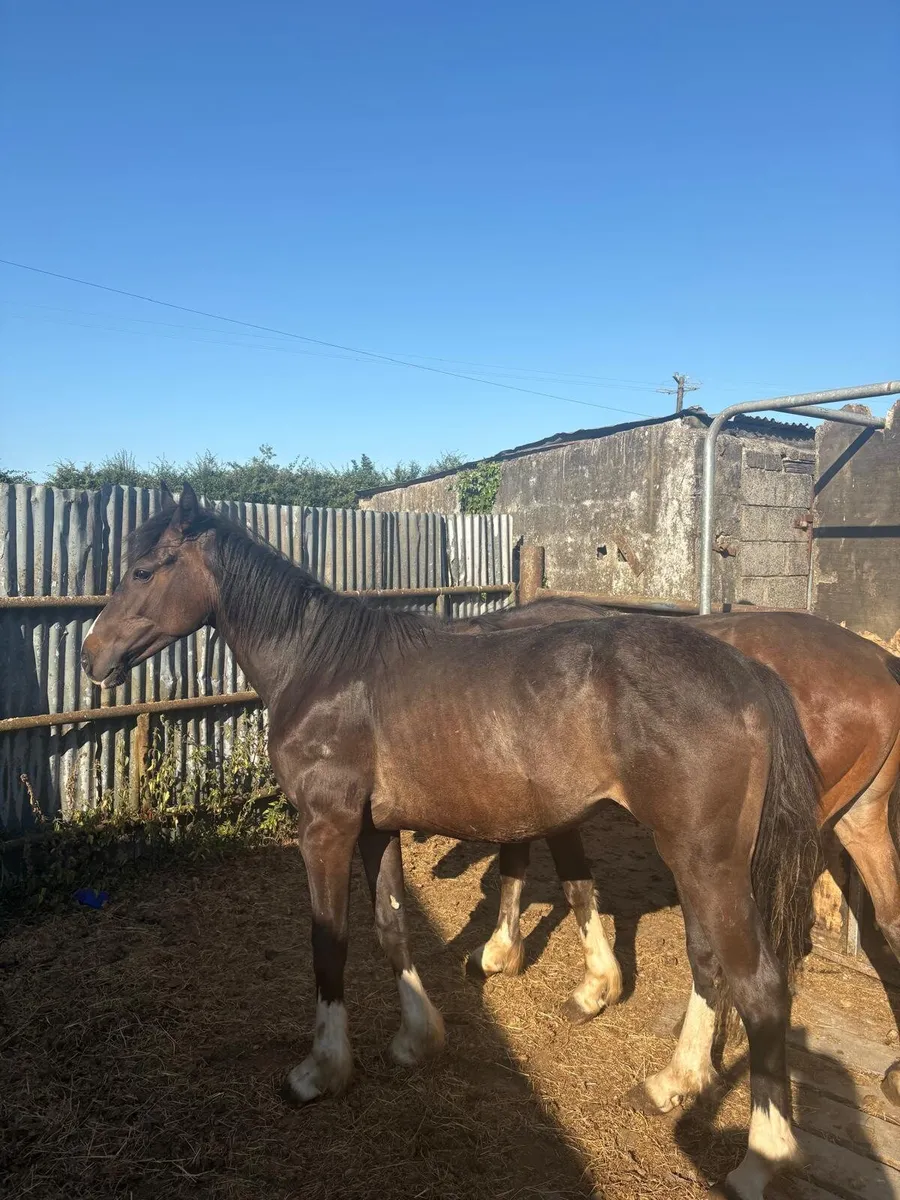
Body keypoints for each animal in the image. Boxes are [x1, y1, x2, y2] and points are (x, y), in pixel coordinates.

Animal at [81, 485, 821, 1200]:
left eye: (144, 570)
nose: (92, 655)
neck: (322, 668)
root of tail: (747, 674)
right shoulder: (375, 828)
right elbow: (392, 927)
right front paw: (417, 1038)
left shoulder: (325, 827)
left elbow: (330, 943)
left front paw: (321, 1070)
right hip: (697, 862)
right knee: (707, 962)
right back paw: (674, 1080)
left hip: (705, 859)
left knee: (759, 986)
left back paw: (760, 1160)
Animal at [455, 597, 900, 1101]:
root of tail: (879, 661)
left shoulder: (552, 810)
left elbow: (553, 878)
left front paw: (518, 960)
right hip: (859, 820)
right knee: (890, 917)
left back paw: (684, 1067)